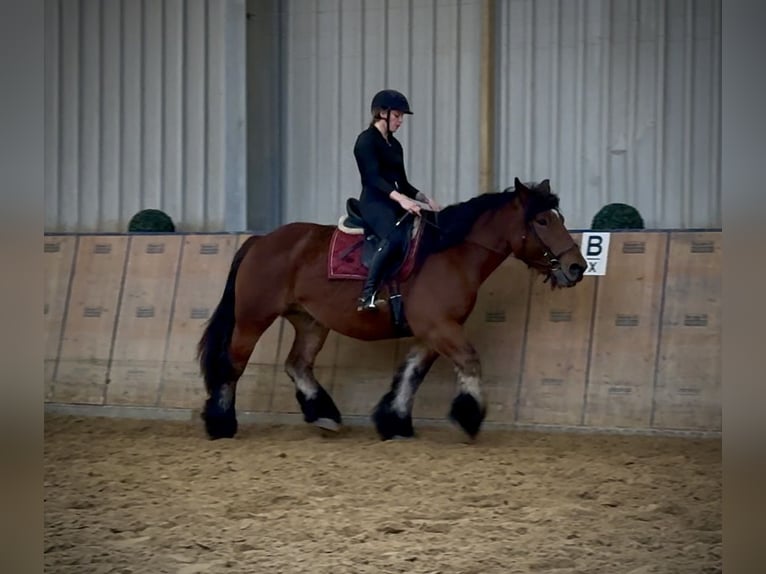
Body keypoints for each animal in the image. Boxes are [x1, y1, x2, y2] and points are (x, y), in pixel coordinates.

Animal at [197, 178, 587, 441]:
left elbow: (411, 373)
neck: (449, 252)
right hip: (253, 318)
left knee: (298, 364)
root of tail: (261, 240)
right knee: (232, 364)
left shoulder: (433, 332)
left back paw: (324, 414)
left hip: (310, 321)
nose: (576, 267)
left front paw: (395, 422)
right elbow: (470, 361)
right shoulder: (440, 328)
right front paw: (469, 417)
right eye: (542, 221)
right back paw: (221, 423)